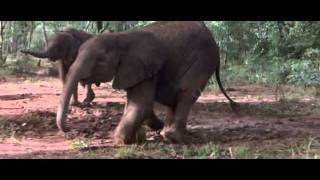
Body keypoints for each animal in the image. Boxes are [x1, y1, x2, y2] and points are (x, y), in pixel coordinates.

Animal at [55, 21, 238, 145]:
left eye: (100, 61)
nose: (70, 130)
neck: (122, 37)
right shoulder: (135, 71)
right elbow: (138, 104)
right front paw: (137, 137)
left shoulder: (147, 67)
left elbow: (141, 105)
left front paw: (122, 140)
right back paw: (167, 133)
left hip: (203, 60)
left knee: (187, 92)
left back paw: (177, 137)